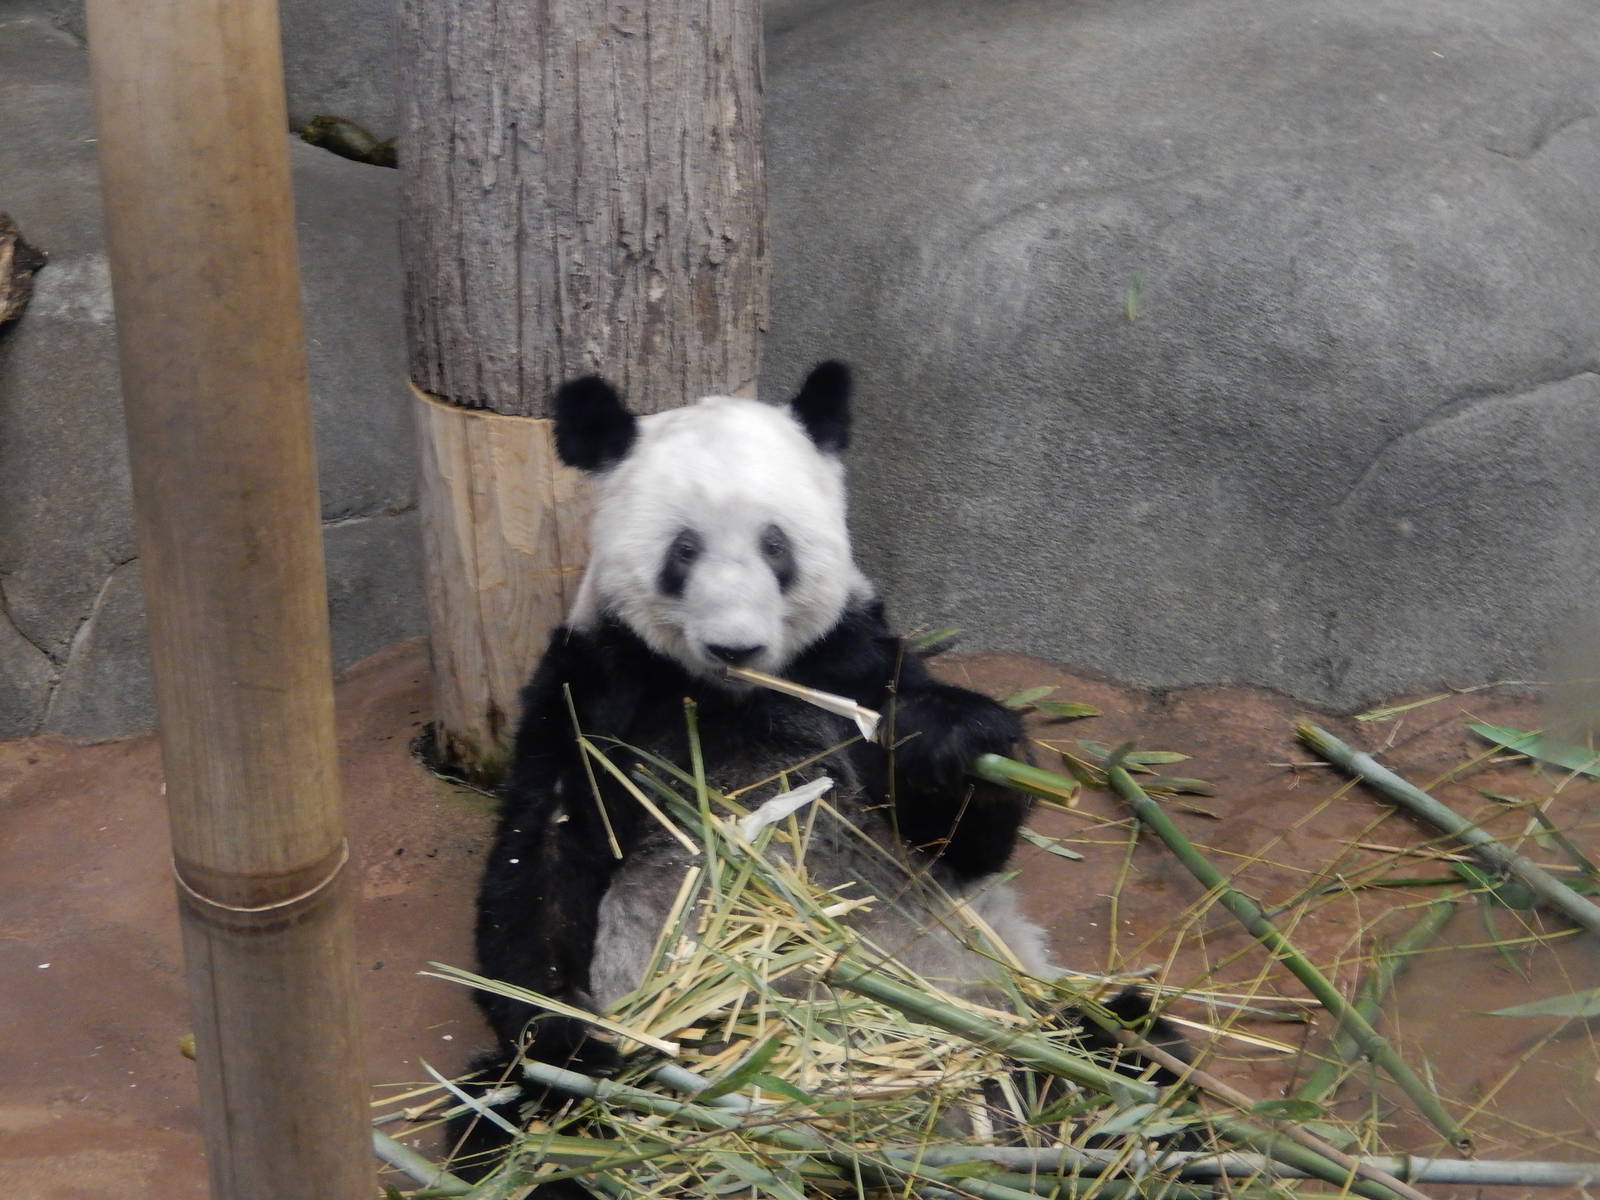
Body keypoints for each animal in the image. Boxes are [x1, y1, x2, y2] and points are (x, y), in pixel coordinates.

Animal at [455, 362, 1168, 1182]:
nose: (735, 645)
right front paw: (570, 1046)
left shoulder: (852, 664)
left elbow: (963, 842)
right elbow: (542, 859)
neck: (733, 694)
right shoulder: (597, 684)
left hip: (1003, 1003)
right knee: (492, 1114)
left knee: (1118, 1045)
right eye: (684, 551)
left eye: (776, 546)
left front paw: (946, 742)